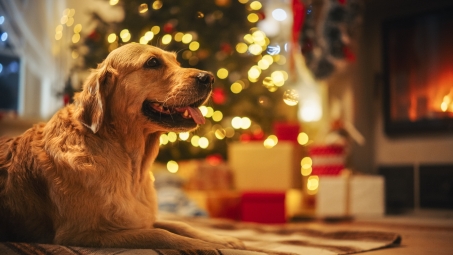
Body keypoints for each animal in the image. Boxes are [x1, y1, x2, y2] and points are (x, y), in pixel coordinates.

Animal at [0, 43, 244, 249]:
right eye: (153, 62)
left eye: (176, 61)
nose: (209, 78)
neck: (132, 167)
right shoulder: (82, 234)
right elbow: (162, 235)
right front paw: (207, 246)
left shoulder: (141, 218)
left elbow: (180, 225)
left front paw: (223, 240)